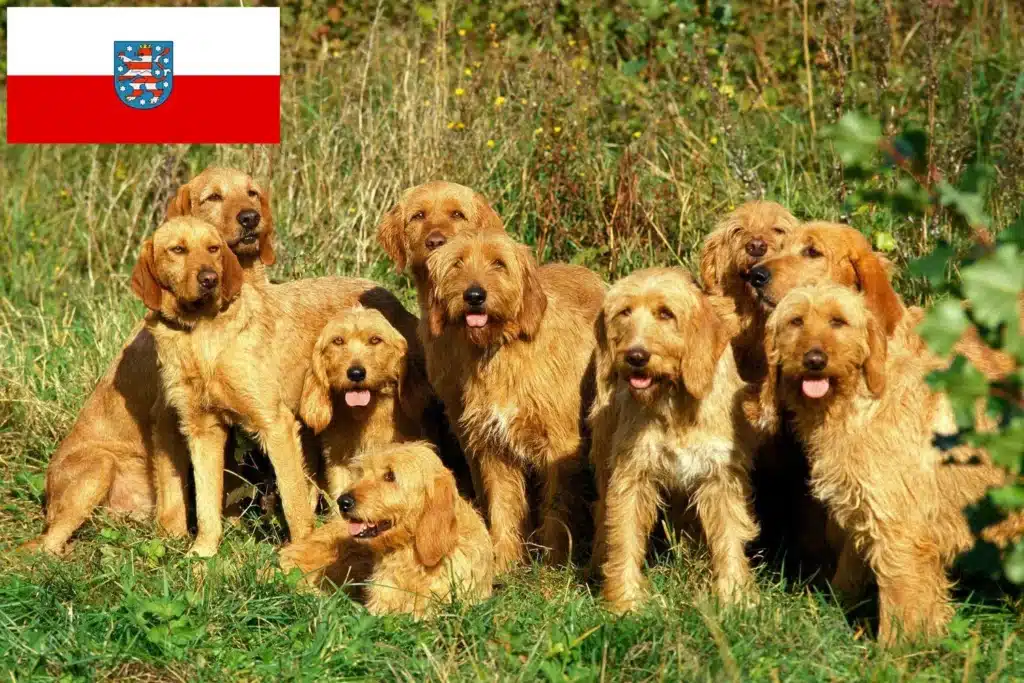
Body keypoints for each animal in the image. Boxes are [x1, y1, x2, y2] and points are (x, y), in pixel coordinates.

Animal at [585, 266, 761, 610]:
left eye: (666, 314)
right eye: (624, 312)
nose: (636, 356)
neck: (674, 404)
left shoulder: (720, 476)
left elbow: (729, 535)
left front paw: (734, 597)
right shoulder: (631, 474)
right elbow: (624, 536)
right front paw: (625, 601)